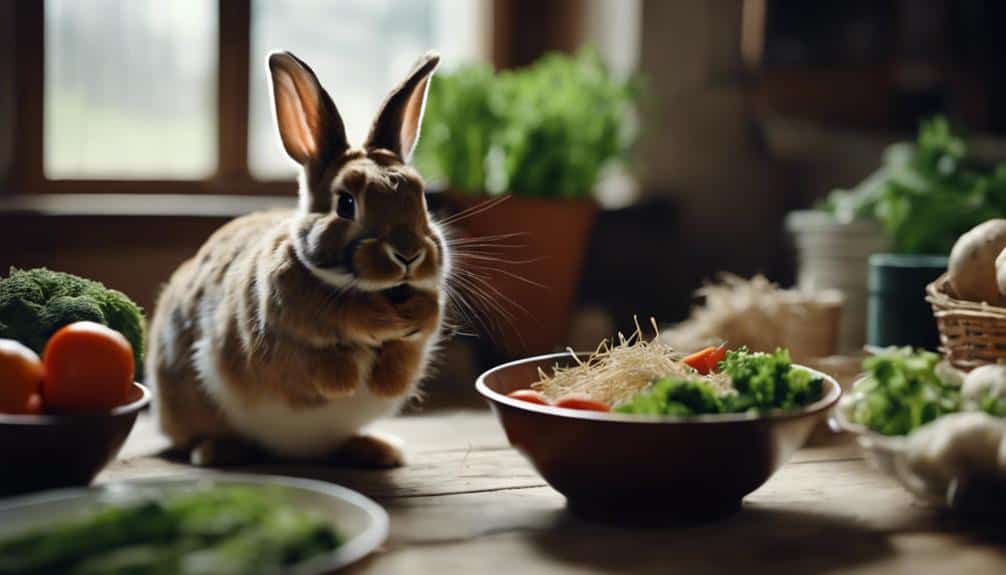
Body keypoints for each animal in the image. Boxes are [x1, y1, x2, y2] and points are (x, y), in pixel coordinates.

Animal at [146, 50, 446, 466]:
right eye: (346, 204)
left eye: (421, 200)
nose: (409, 254)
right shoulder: (275, 344)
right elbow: (319, 367)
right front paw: (351, 371)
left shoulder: (416, 340)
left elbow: (404, 351)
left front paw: (389, 371)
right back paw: (216, 452)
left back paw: (380, 450)